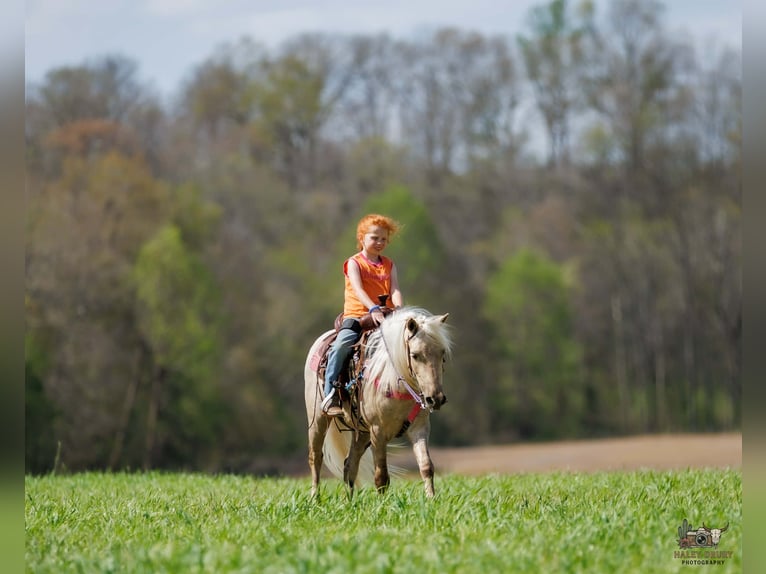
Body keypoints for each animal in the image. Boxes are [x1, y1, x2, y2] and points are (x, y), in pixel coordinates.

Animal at [304, 307, 452, 499]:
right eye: (415, 355)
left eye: (442, 353)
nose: (435, 399)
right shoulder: (378, 432)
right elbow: (381, 476)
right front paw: (383, 503)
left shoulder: (419, 428)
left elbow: (426, 466)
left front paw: (431, 499)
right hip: (317, 420)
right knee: (316, 457)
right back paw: (314, 498)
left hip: (361, 432)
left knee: (349, 464)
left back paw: (349, 500)